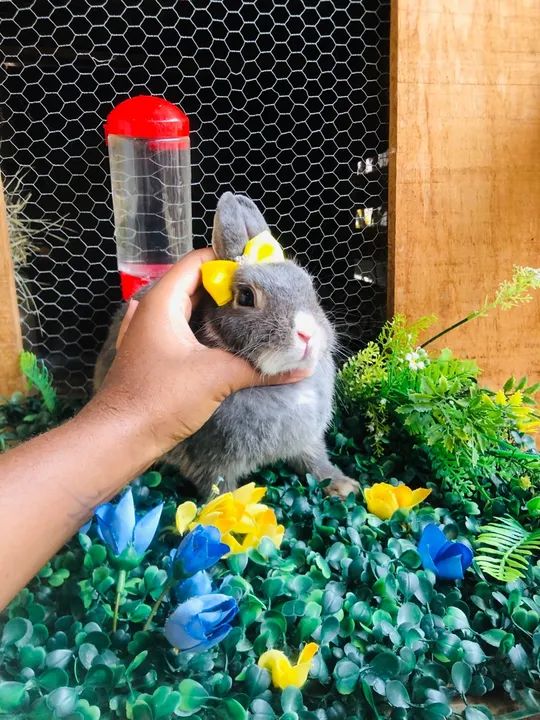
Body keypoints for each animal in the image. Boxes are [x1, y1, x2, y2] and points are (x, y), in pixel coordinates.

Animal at [94, 192, 359, 500]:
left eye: (308, 286)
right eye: (245, 297)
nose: (307, 334)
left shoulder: (308, 441)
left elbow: (316, 460)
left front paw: (343, 486)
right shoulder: (210, 460)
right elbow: (219, 490)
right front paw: (230, 513)